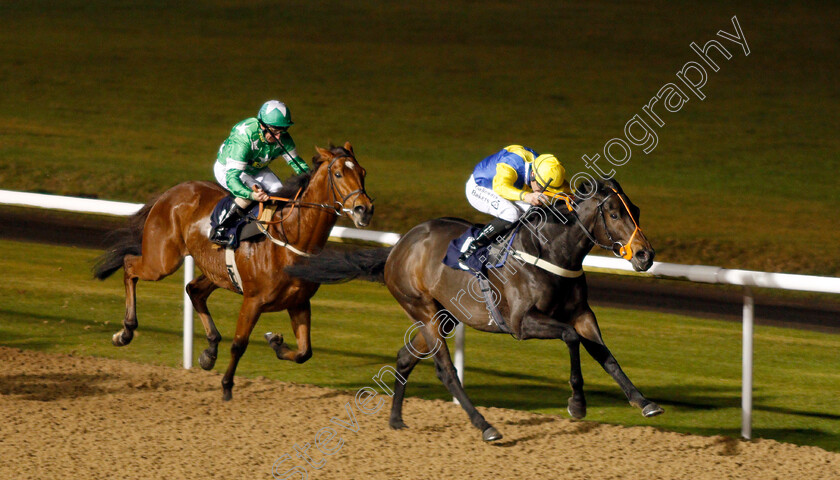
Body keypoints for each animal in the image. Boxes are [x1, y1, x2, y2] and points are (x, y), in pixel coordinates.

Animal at [93, 143, 372, 402]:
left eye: (362, 172)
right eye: (338, 173)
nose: (364, 210)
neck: (290, 237)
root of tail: (171, 192)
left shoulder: (299, 302)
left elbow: (305, 353)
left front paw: (275, 342)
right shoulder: (253, 300)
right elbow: (239, 344)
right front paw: (227, 386)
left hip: (215, 272)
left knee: (193, 290)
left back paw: (209, 350)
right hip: (162, 261)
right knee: (129, 266)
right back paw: (125, 332)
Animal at [288, 179, 664, 442]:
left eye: (636, 210)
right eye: (613, 213)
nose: (646, 255)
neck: (550, 251)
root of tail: (396, 249)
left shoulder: (583, 313)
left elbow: (606, 355)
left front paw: (643, 401)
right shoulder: (521, 323)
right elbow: (571, 338)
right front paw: (577, 403)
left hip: (444, 317)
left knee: (405, 357)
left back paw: (396, 420)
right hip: (423, 310)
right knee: (445, 371)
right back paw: (485, 425)